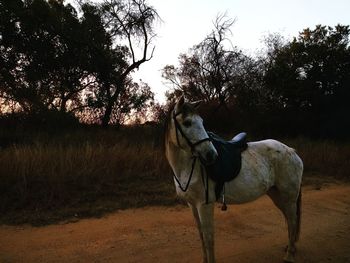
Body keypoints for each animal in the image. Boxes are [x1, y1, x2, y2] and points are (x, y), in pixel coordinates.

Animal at [165, 97, 304, 263]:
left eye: (202, 122)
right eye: (187, 123)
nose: (212, 155)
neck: (186, 168)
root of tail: (291, 151)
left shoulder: (204, 205)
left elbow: (209, 239)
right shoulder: (192, 205)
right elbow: (201, 236)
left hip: (288, 196)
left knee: (292, 220)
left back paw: (289, 255)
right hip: (277, 195)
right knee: (289, 220)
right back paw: (291, 248)